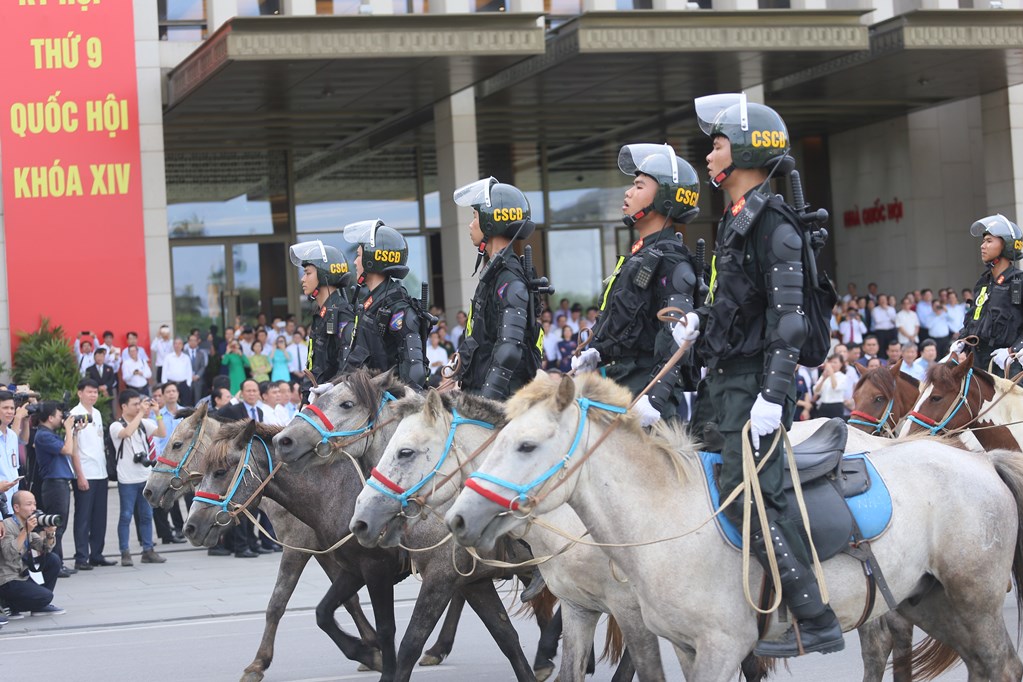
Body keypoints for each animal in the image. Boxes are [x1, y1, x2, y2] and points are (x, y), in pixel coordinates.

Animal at [142, 408, 382, 678]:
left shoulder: (297, 546)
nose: (149, 490)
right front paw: (372, 645)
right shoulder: (321, 549)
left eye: (177, 444)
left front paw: (258, 663)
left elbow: (277, 603)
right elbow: (350, 600)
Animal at [349, 388, 671, 682]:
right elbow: (506, 635)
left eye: (406, 452)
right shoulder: (473, 581)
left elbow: (410, 642)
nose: (361, 520)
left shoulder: (441, 576)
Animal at [446, 374, 1023, 682]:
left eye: (526, 445)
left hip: (975, 601)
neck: (666, 518)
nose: (458, 517)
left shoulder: (722, 647)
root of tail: (978, 460)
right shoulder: (684, 646)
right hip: (930, 601)